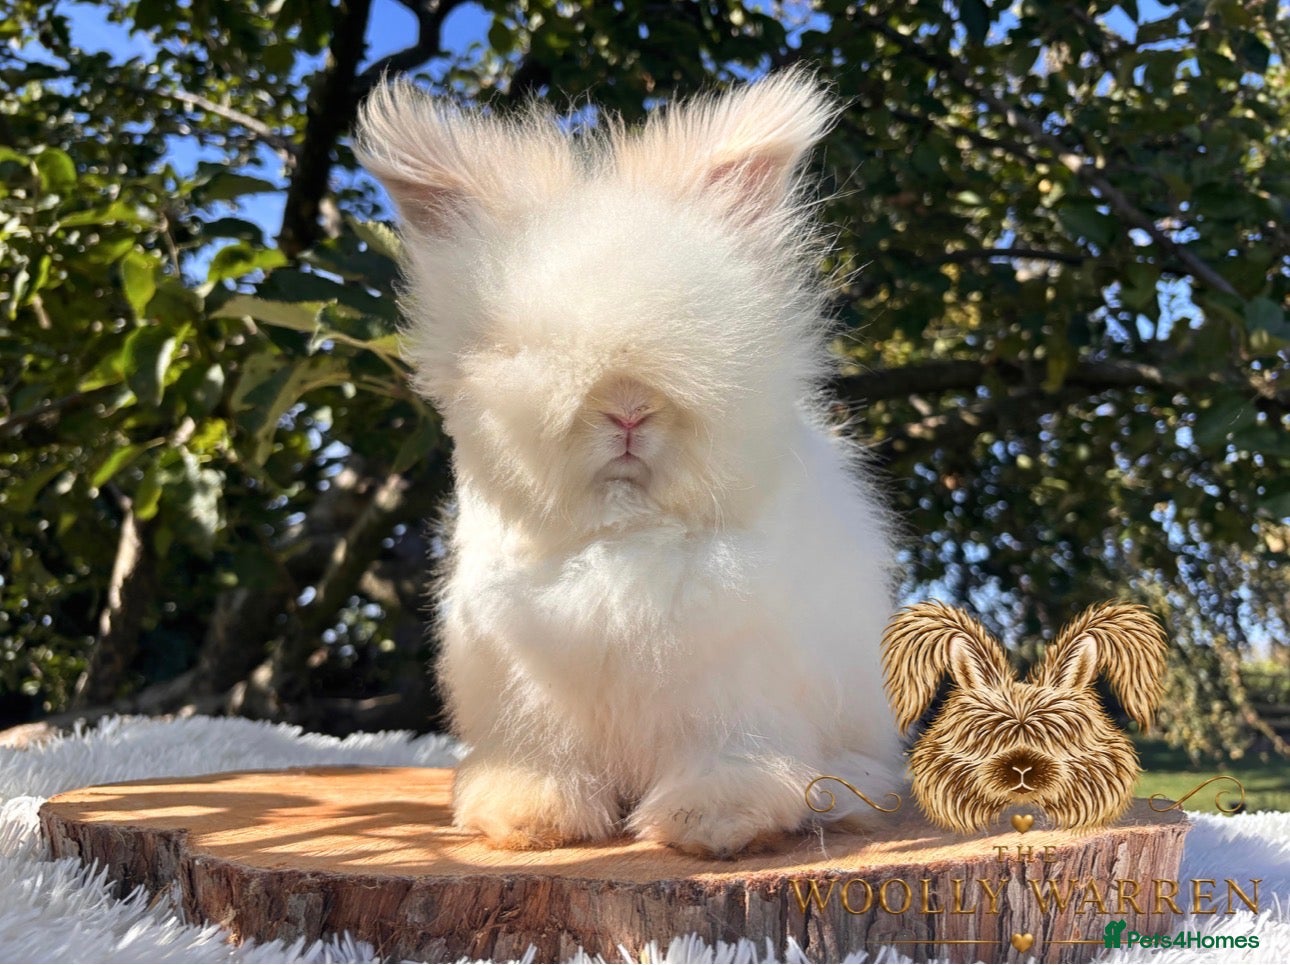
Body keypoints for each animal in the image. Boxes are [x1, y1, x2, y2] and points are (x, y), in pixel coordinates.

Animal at [353, 69, 902, 858]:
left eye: (710, 330)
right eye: (517, 346)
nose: (628, 410)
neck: (623, 532)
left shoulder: (734, 688)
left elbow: (727, 751)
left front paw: (716, 821)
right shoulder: (529, 693)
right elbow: (544, 760)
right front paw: (526, 819)